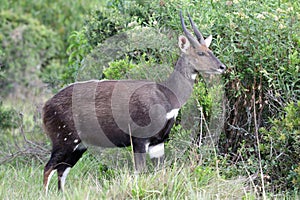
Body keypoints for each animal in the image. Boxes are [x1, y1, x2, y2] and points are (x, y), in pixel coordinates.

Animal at [42, 12, 225, 192]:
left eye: (209, 49)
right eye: (200, 53)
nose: (222, 66)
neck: (165, 96)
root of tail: (45, 107)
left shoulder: (158, 141)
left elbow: (159, 171)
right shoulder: (139, 139)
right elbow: (140, 172)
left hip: (79, 145)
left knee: (61, 170)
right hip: (64, 139)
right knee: (47, 168)